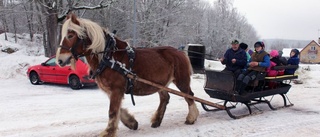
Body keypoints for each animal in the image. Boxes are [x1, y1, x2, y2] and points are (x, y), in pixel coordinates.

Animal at [56, 13, 199, 137]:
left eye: (70, 35)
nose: (59, 60)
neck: (109, 57)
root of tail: (180, 52)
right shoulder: (113, 90)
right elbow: (118, 109)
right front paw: (131, 123)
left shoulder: (116, 89)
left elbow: (112, 111)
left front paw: (108, 132)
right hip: (160, 83)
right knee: (165, 98)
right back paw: (157, 121)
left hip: (181, 80)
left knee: (189, 96)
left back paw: (191, 117)